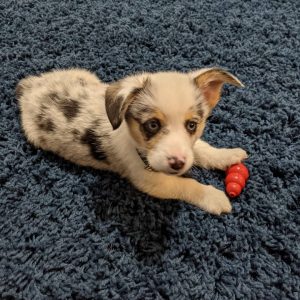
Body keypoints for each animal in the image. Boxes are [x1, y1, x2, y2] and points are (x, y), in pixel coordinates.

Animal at [15, 67, 248, 214]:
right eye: (152, 125)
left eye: (192, 125)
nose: (178, 164)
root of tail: (30, 87)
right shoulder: (151, 181)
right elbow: (186, 184)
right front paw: (214, 197)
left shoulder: (188, 149)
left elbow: (201, 148)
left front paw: (228, 154)